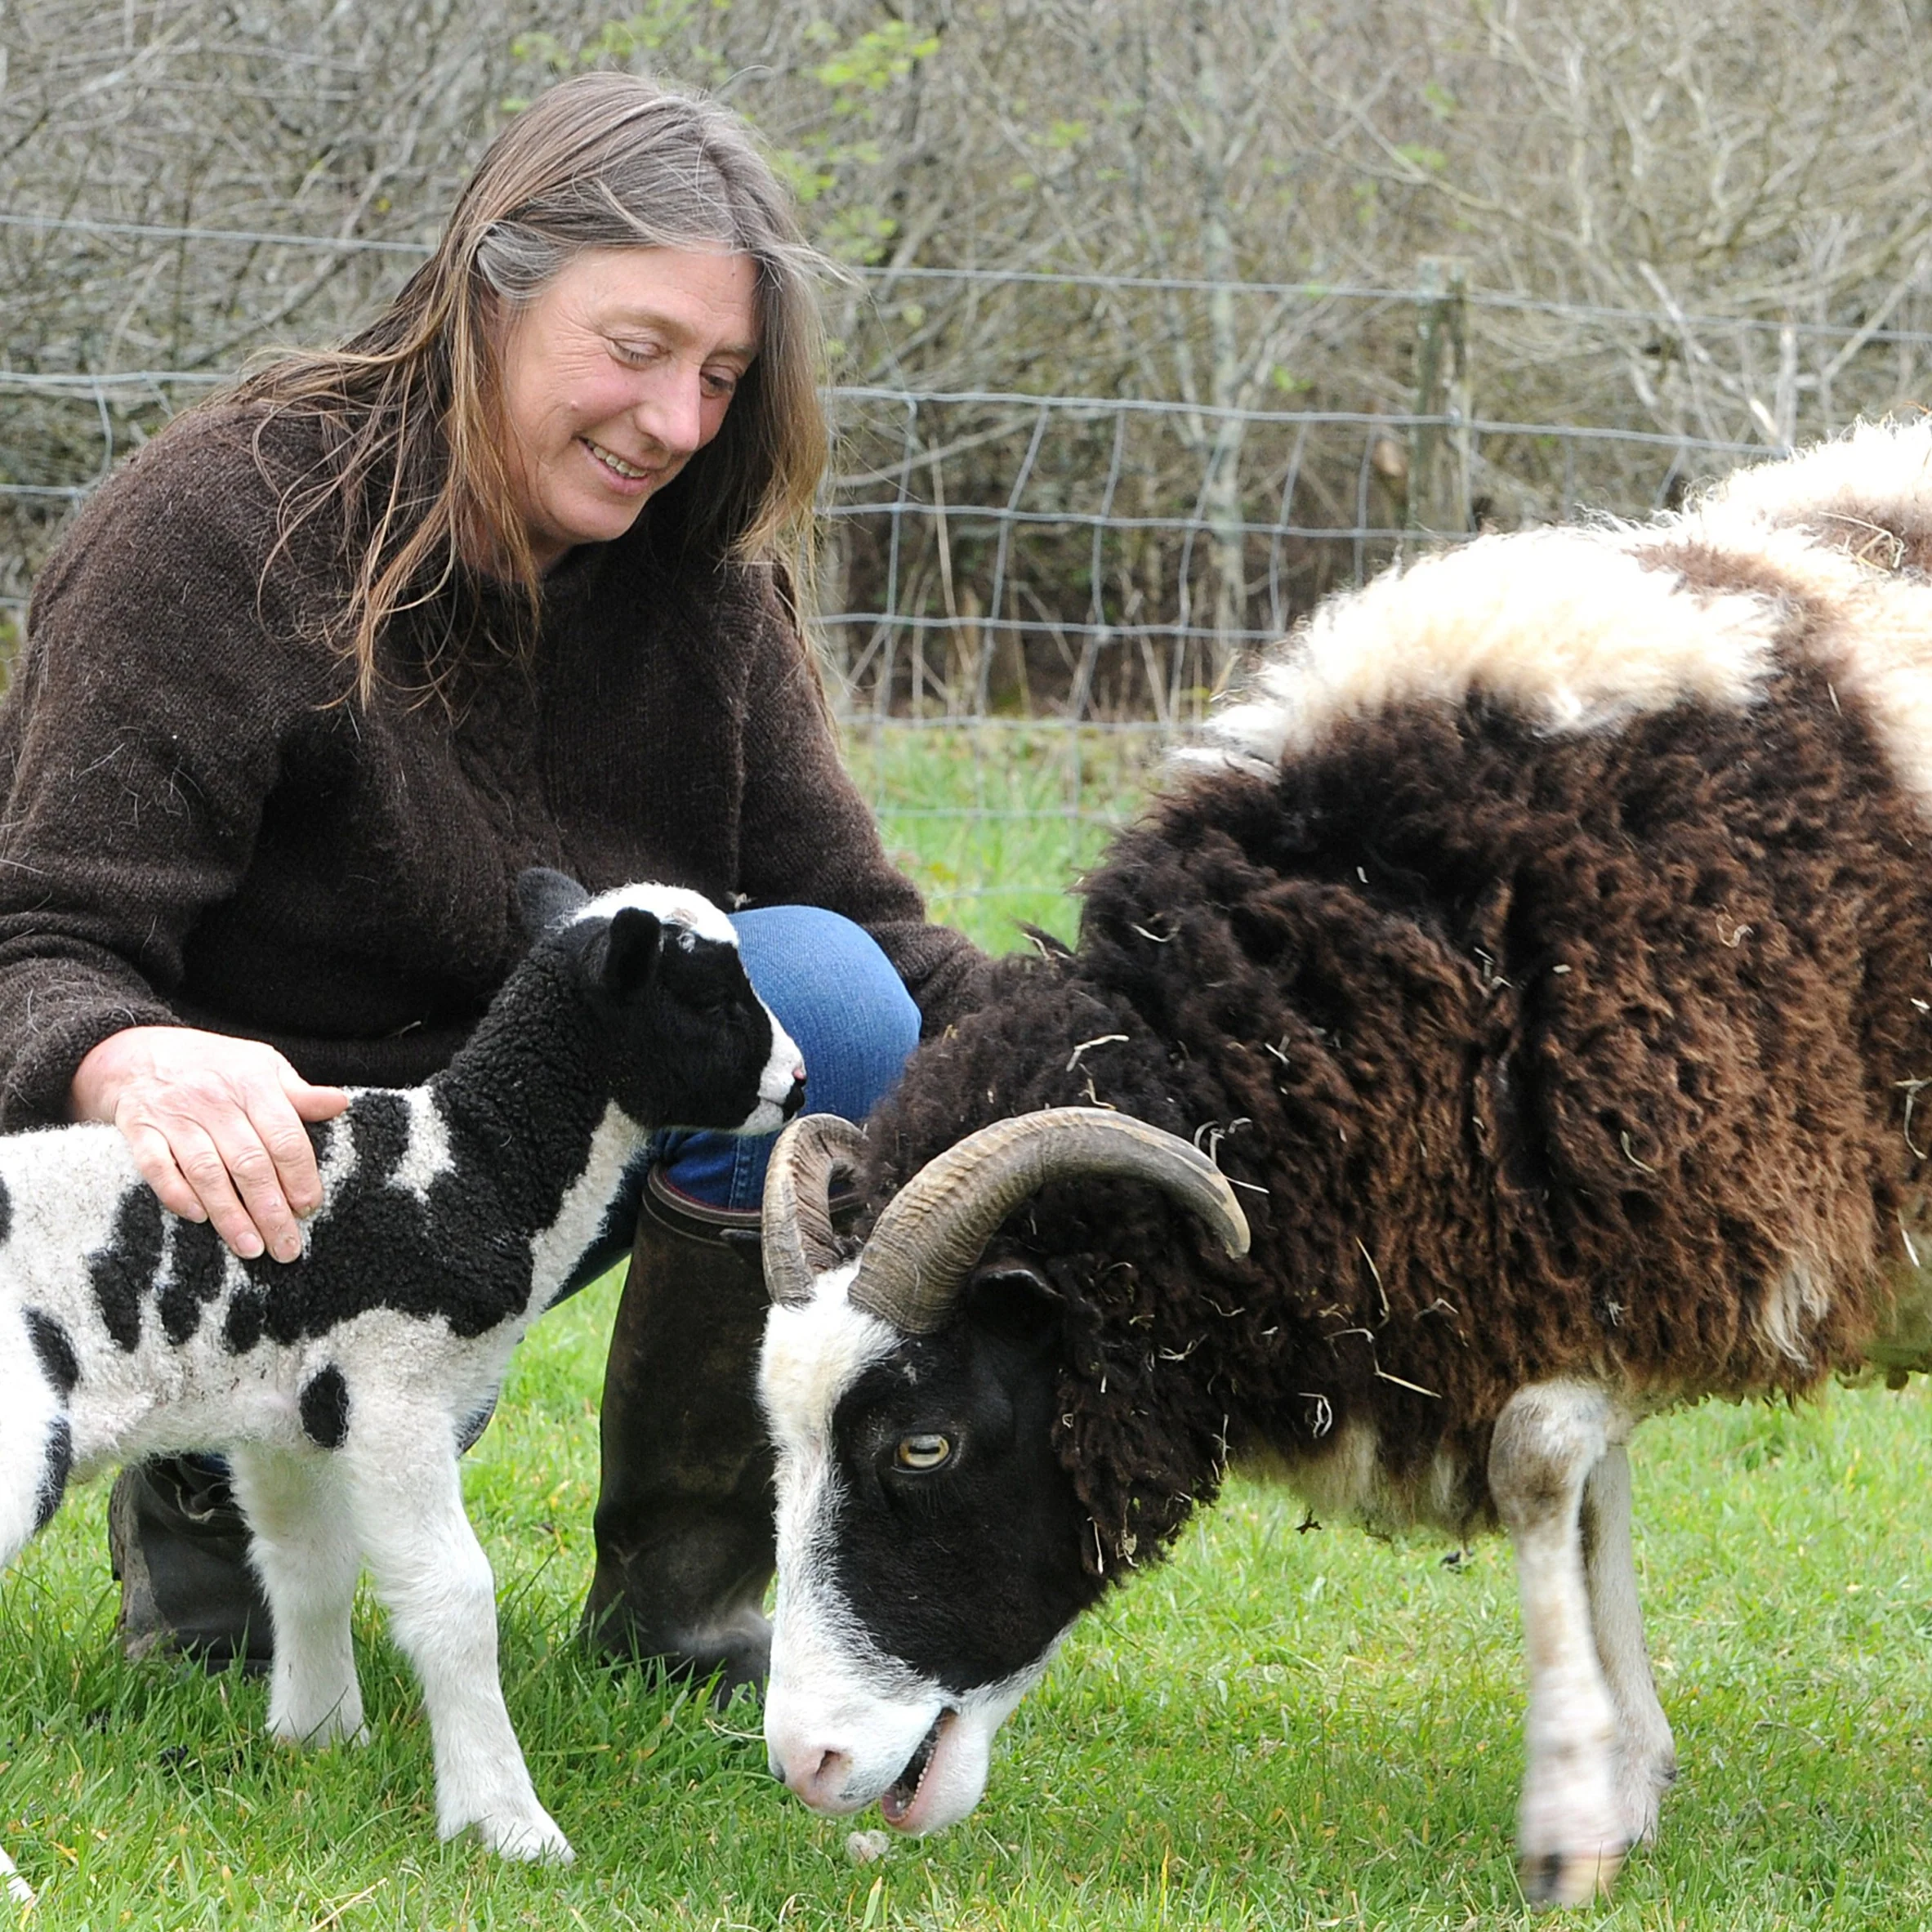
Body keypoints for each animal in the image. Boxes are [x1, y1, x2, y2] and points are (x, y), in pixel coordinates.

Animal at [0, 868, 804, 1896]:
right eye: (707, 996)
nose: (798, 1082)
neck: (481, 1165)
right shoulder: (396, 1390)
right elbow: (454, 1598)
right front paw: (506, 1822)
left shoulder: (290, 1410)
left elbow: (306, 1563)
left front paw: (317, 1736)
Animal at [753, 415, 1932, 1908]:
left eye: (926, 1442)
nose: (809, 1768)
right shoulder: (1570, 1247)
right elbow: (1588, 1496)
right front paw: (1626, 1776)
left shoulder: (1676, 1216)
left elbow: (1542, 1466)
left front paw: (1569, 1814)